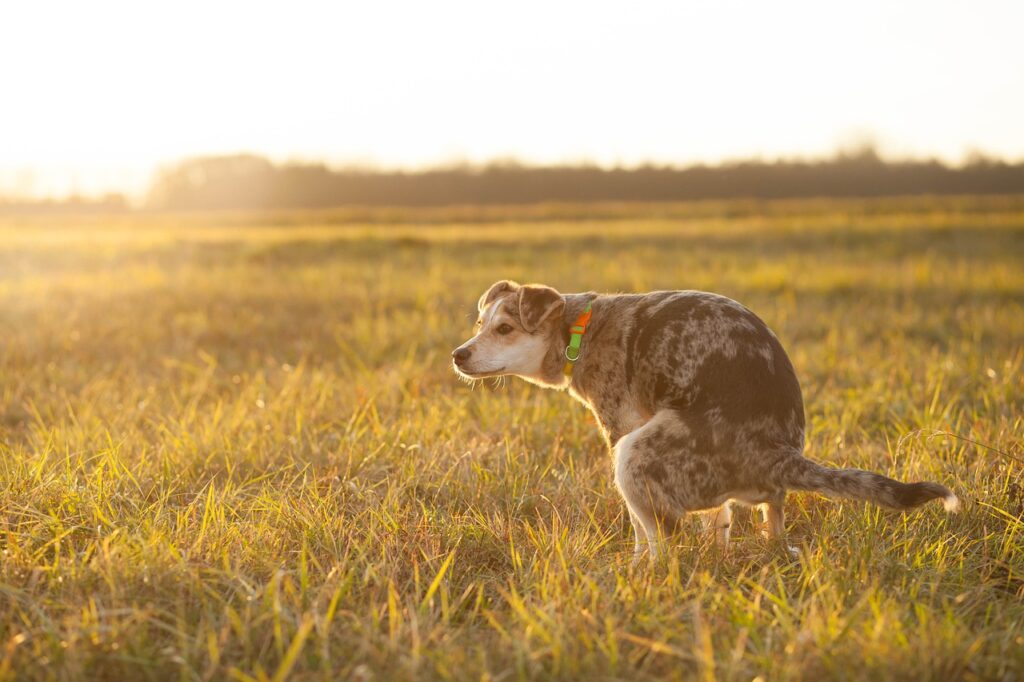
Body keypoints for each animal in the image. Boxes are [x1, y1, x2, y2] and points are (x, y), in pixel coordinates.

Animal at [452, 278, 954, 557]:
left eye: (505, 328)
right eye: (479, 325)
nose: (458, 354)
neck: (579, 330)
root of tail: (777, 453)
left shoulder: (620, 429)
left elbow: (640, 529)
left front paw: (636, 565)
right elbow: (720, 521)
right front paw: (718, 548)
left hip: (634, 454)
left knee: (665, 540)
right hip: (755, 494)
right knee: (769, 520)